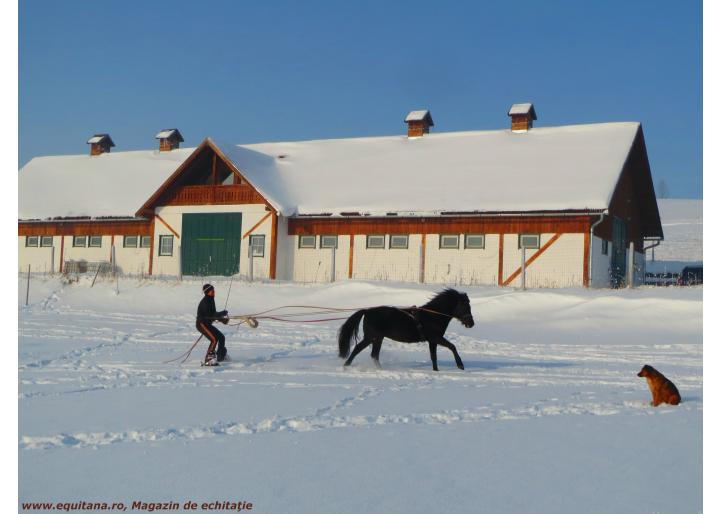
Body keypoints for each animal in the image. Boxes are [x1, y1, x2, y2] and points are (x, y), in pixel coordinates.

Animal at [338, 286, 476, 370]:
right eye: (464, 306)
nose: (471, 323)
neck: (433, 315)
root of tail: (367, 311)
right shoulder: (436, 337)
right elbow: (452, 346)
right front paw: (460, 365)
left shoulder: (432, 341)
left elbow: (434, 357)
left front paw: (436, 371)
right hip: (371, 337)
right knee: (358, 349)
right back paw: (346, 366)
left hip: (378, 338)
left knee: (374, 355)